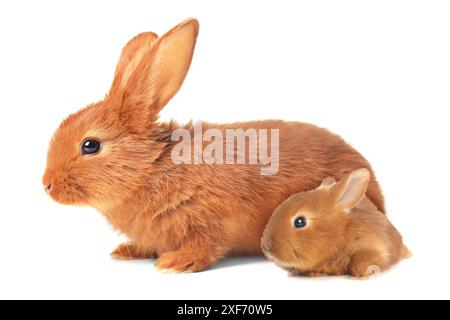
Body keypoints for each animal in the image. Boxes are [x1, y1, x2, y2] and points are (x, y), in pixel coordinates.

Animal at [260, 169, 412, 278]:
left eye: (299, 222)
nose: (267, 247)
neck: (341, 233)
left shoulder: (370, 245)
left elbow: (362, 261)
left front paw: (365, 274)